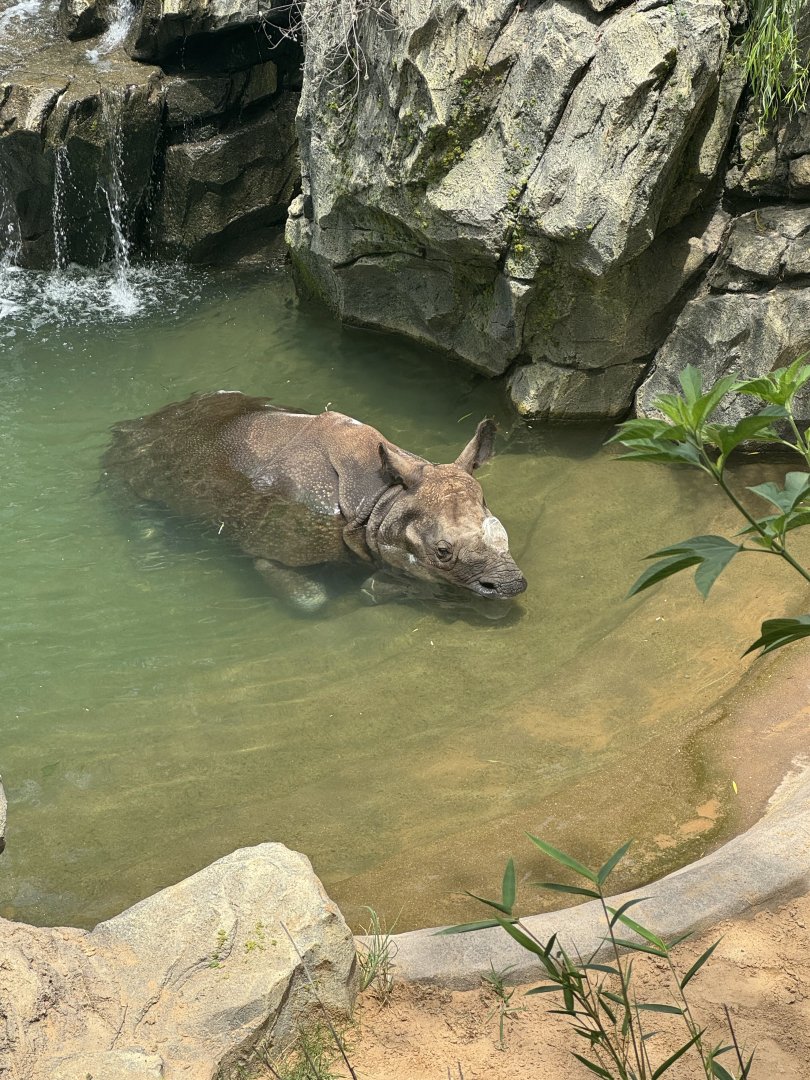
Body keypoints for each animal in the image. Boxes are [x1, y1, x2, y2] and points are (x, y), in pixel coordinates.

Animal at [102, 392, 527, 612]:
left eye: (503, 532)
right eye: (442, 552)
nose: (511, 586)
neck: (381, 499)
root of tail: (138, 421)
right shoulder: (276, 543)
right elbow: (311, 599)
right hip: (135, 457)